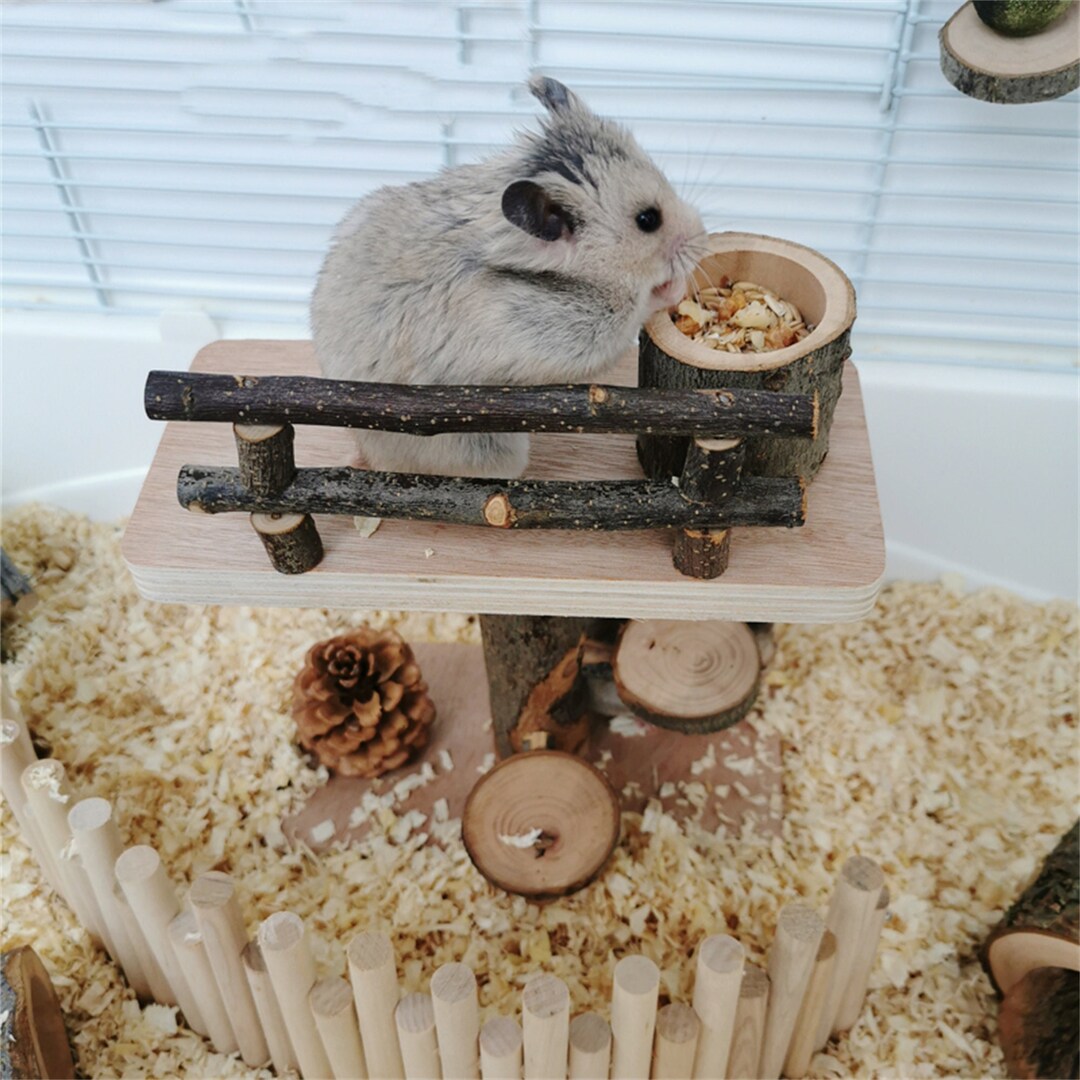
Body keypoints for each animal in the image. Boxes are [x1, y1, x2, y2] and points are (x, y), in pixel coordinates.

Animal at [311, 75, 705, 478]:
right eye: (648, 219)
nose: (702, 236)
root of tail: (367, 453)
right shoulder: (576, 333)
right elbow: (638, 307)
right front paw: (673, 286)